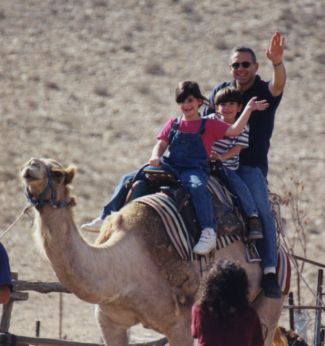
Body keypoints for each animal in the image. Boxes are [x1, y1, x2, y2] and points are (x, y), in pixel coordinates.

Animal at [19, 157, 286, 346]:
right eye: (30, 163)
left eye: (58, 174)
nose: (30, 166)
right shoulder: (109, 321)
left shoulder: (182, 324)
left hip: (271, 304)